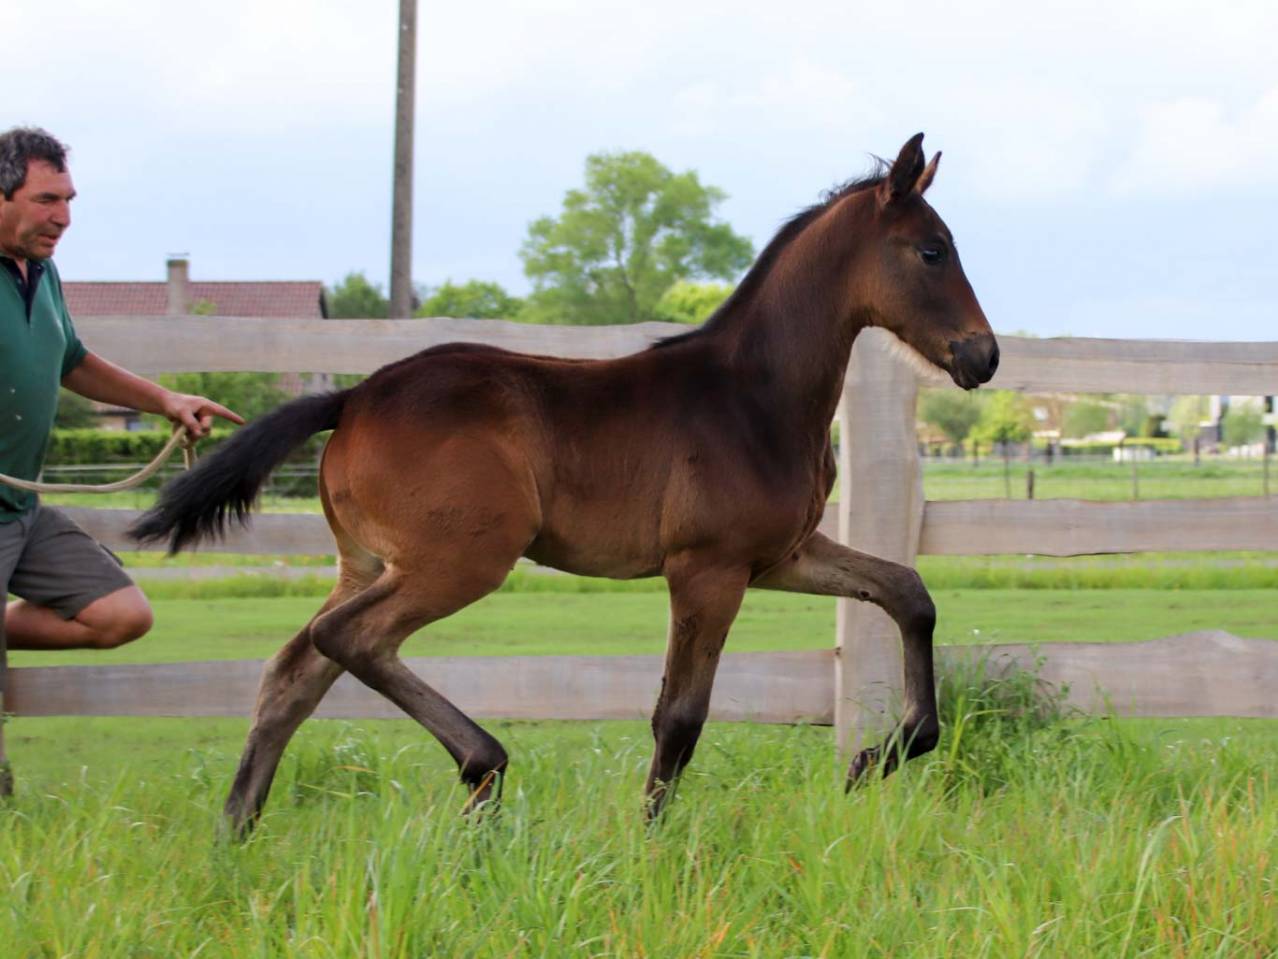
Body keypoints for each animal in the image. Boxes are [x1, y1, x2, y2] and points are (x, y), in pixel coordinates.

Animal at [131, 133, 998, 834]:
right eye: (931, 250)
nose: (982, 356)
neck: (753, 394)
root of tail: (352, 397)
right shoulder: (708, 568)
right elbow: (679, 717)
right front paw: (650, 848)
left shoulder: (782, 555)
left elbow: (909, 593)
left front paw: (882, 754)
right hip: (460, 560)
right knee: (349, 639)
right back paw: (481, 765)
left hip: (367, 563)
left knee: (293, 672)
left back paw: (235, 834)